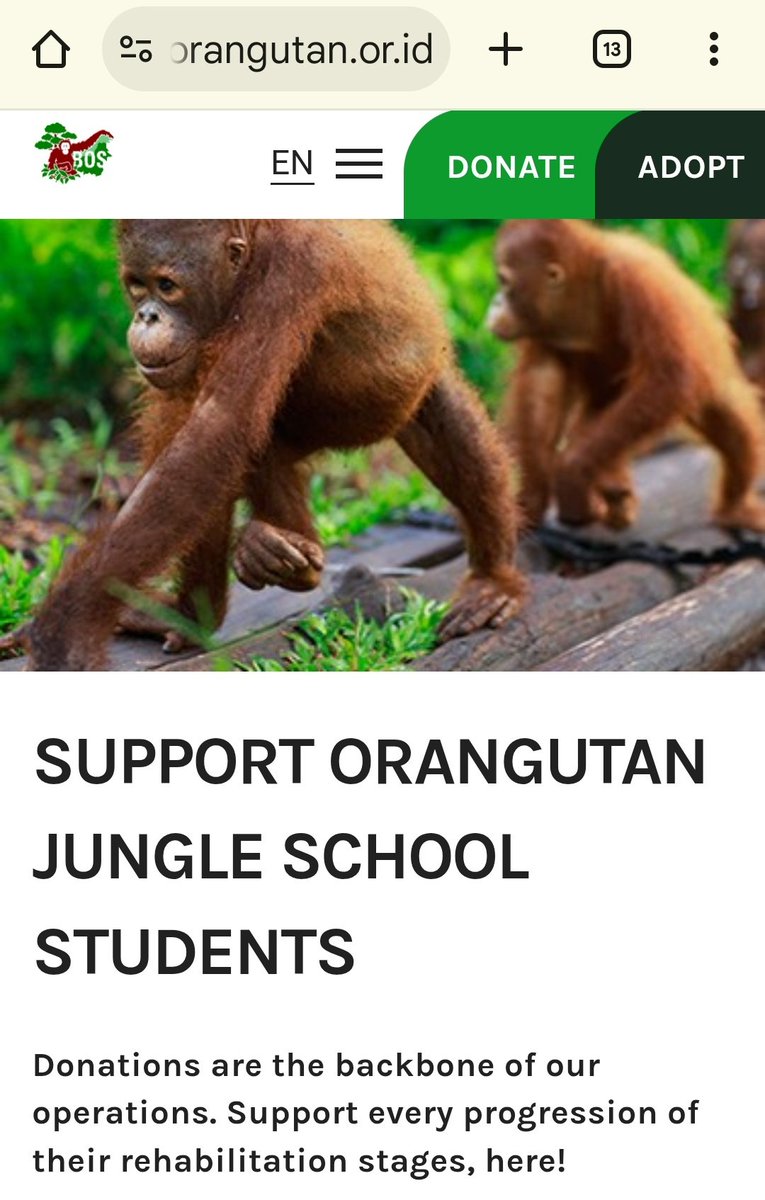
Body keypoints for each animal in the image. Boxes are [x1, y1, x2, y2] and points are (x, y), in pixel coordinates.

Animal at [24, 220, 527, 669]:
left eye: (167, 286)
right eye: (135, 285)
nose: (146, 315)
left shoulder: (287, 277)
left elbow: (218, 425)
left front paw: (64, 629)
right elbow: (208, 432)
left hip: (412, 392)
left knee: (457, 436)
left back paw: (492, 581)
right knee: (239, 432)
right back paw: (258, 573)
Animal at [488, 219, 765, 532]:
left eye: (503, 281)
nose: (496, 303)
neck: (582, 293)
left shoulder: (637, 282)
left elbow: (669, 376)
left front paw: (570, 472)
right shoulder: (544, 326)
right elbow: (542, 378)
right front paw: (534, 490)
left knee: (736, 430)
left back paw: (733, 508)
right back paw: (612, 491)